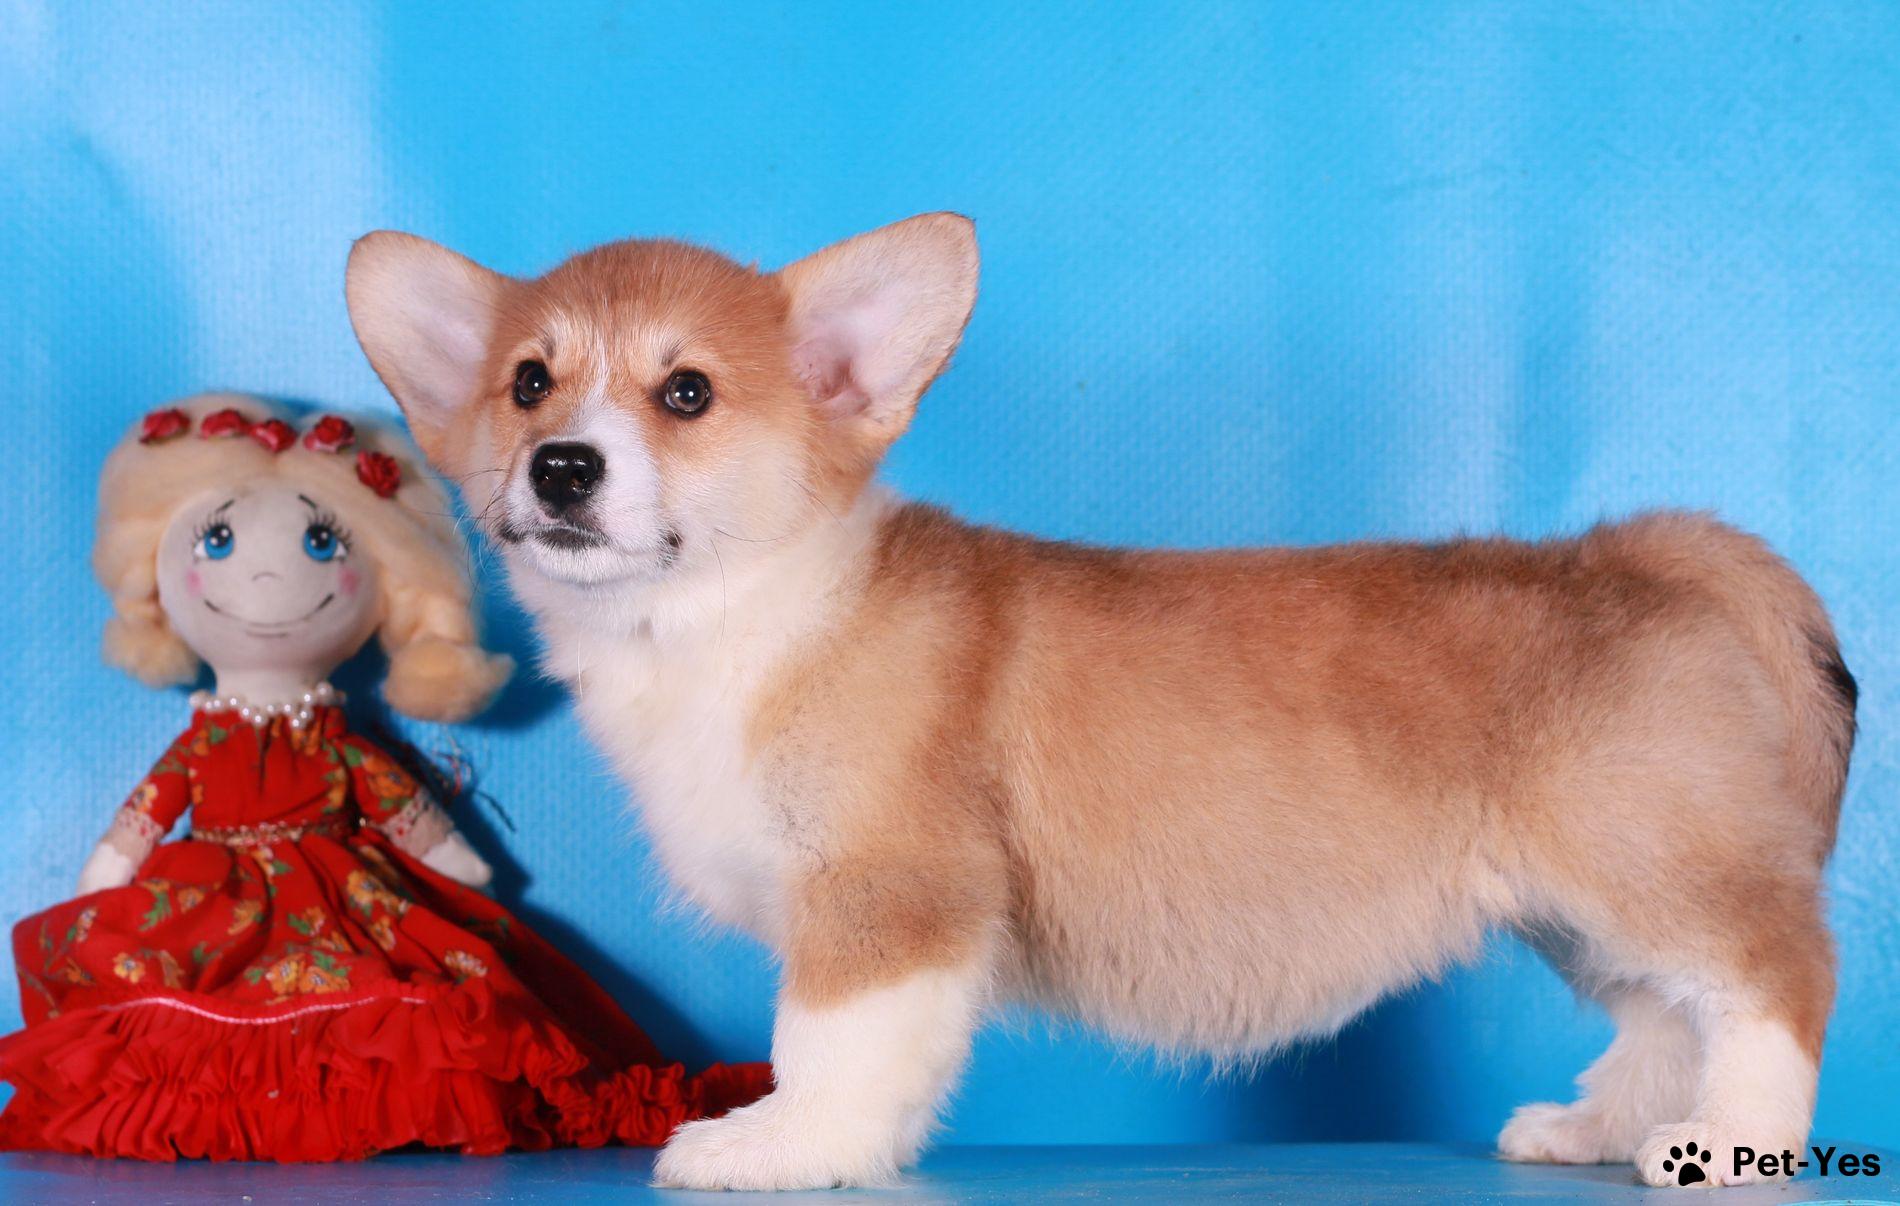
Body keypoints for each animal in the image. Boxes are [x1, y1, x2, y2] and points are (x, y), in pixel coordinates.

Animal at [345, 214, 1854, 1190]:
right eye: (527, 383)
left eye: (687, 394)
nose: (560, 468)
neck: (726, 614)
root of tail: (1649, 551)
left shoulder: (891, 896)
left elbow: (824, 1045)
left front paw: (778, 1146)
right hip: (1584, 901)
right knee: (1668, 1016)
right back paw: (1600, 1133)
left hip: (1652, 865)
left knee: (1777, 979)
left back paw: (1730, 1151)